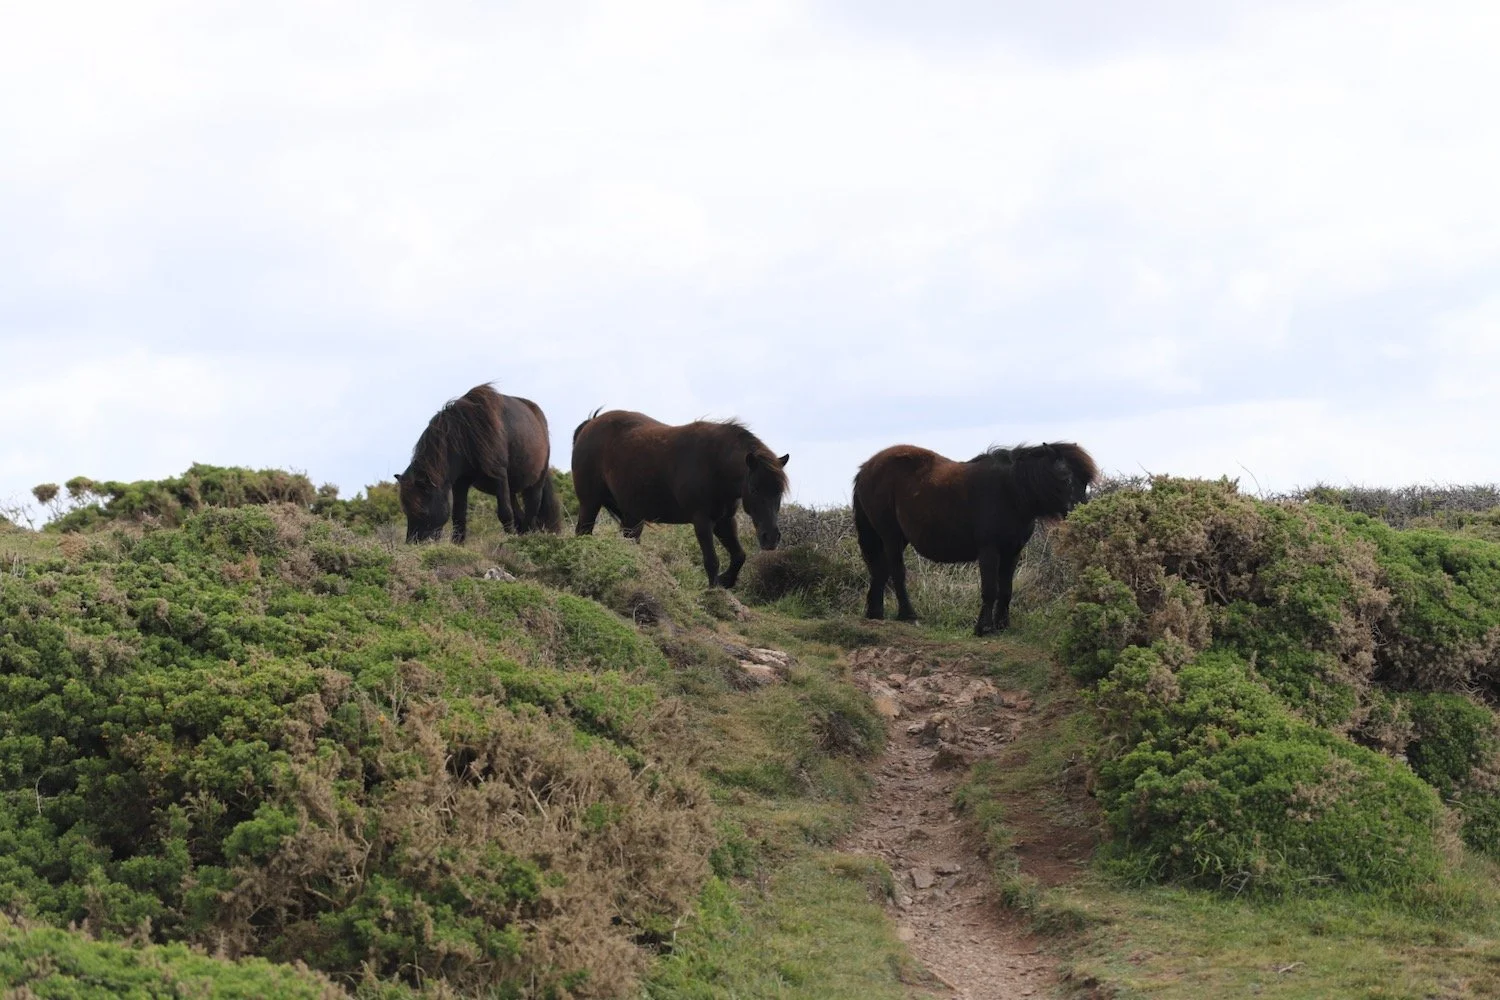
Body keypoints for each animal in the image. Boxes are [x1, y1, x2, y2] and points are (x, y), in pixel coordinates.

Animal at [395, 384, 563, 543]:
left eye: (422, 511)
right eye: (406, 511)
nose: (414, 543)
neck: (465, 435)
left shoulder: (499, 476)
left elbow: (505, 513)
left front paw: (509, 541)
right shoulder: (460, 482)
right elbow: (458, 516)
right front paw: (457, 544)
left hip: (535, 483)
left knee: (531, 512)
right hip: (511, 489)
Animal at [571, 410, 789, 588]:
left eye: (779, 491)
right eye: (754, 489)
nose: (771, 538)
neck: (715, 464)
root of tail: (590, 424)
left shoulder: (724, 521)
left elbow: (739, 556)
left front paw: (726, 581)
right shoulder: (702, 520)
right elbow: (712, 561)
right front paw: (715, 592)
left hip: (632, 515)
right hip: (590, 502)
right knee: (583, 533)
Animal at [852, 442, 1097, 635]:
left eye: (1084, 482)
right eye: (1065, 477)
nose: (1081, 514)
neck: (1011, 491)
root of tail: (866, 467)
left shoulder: (1012, 552)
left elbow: (1006, 590)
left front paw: (1002, 625)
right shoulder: (989, 550)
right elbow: (990, 589)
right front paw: (984, 627)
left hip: (896, 538)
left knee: (880, 570)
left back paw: (875, 613)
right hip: (891, 536)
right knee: (896, 572)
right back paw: (908, 615)